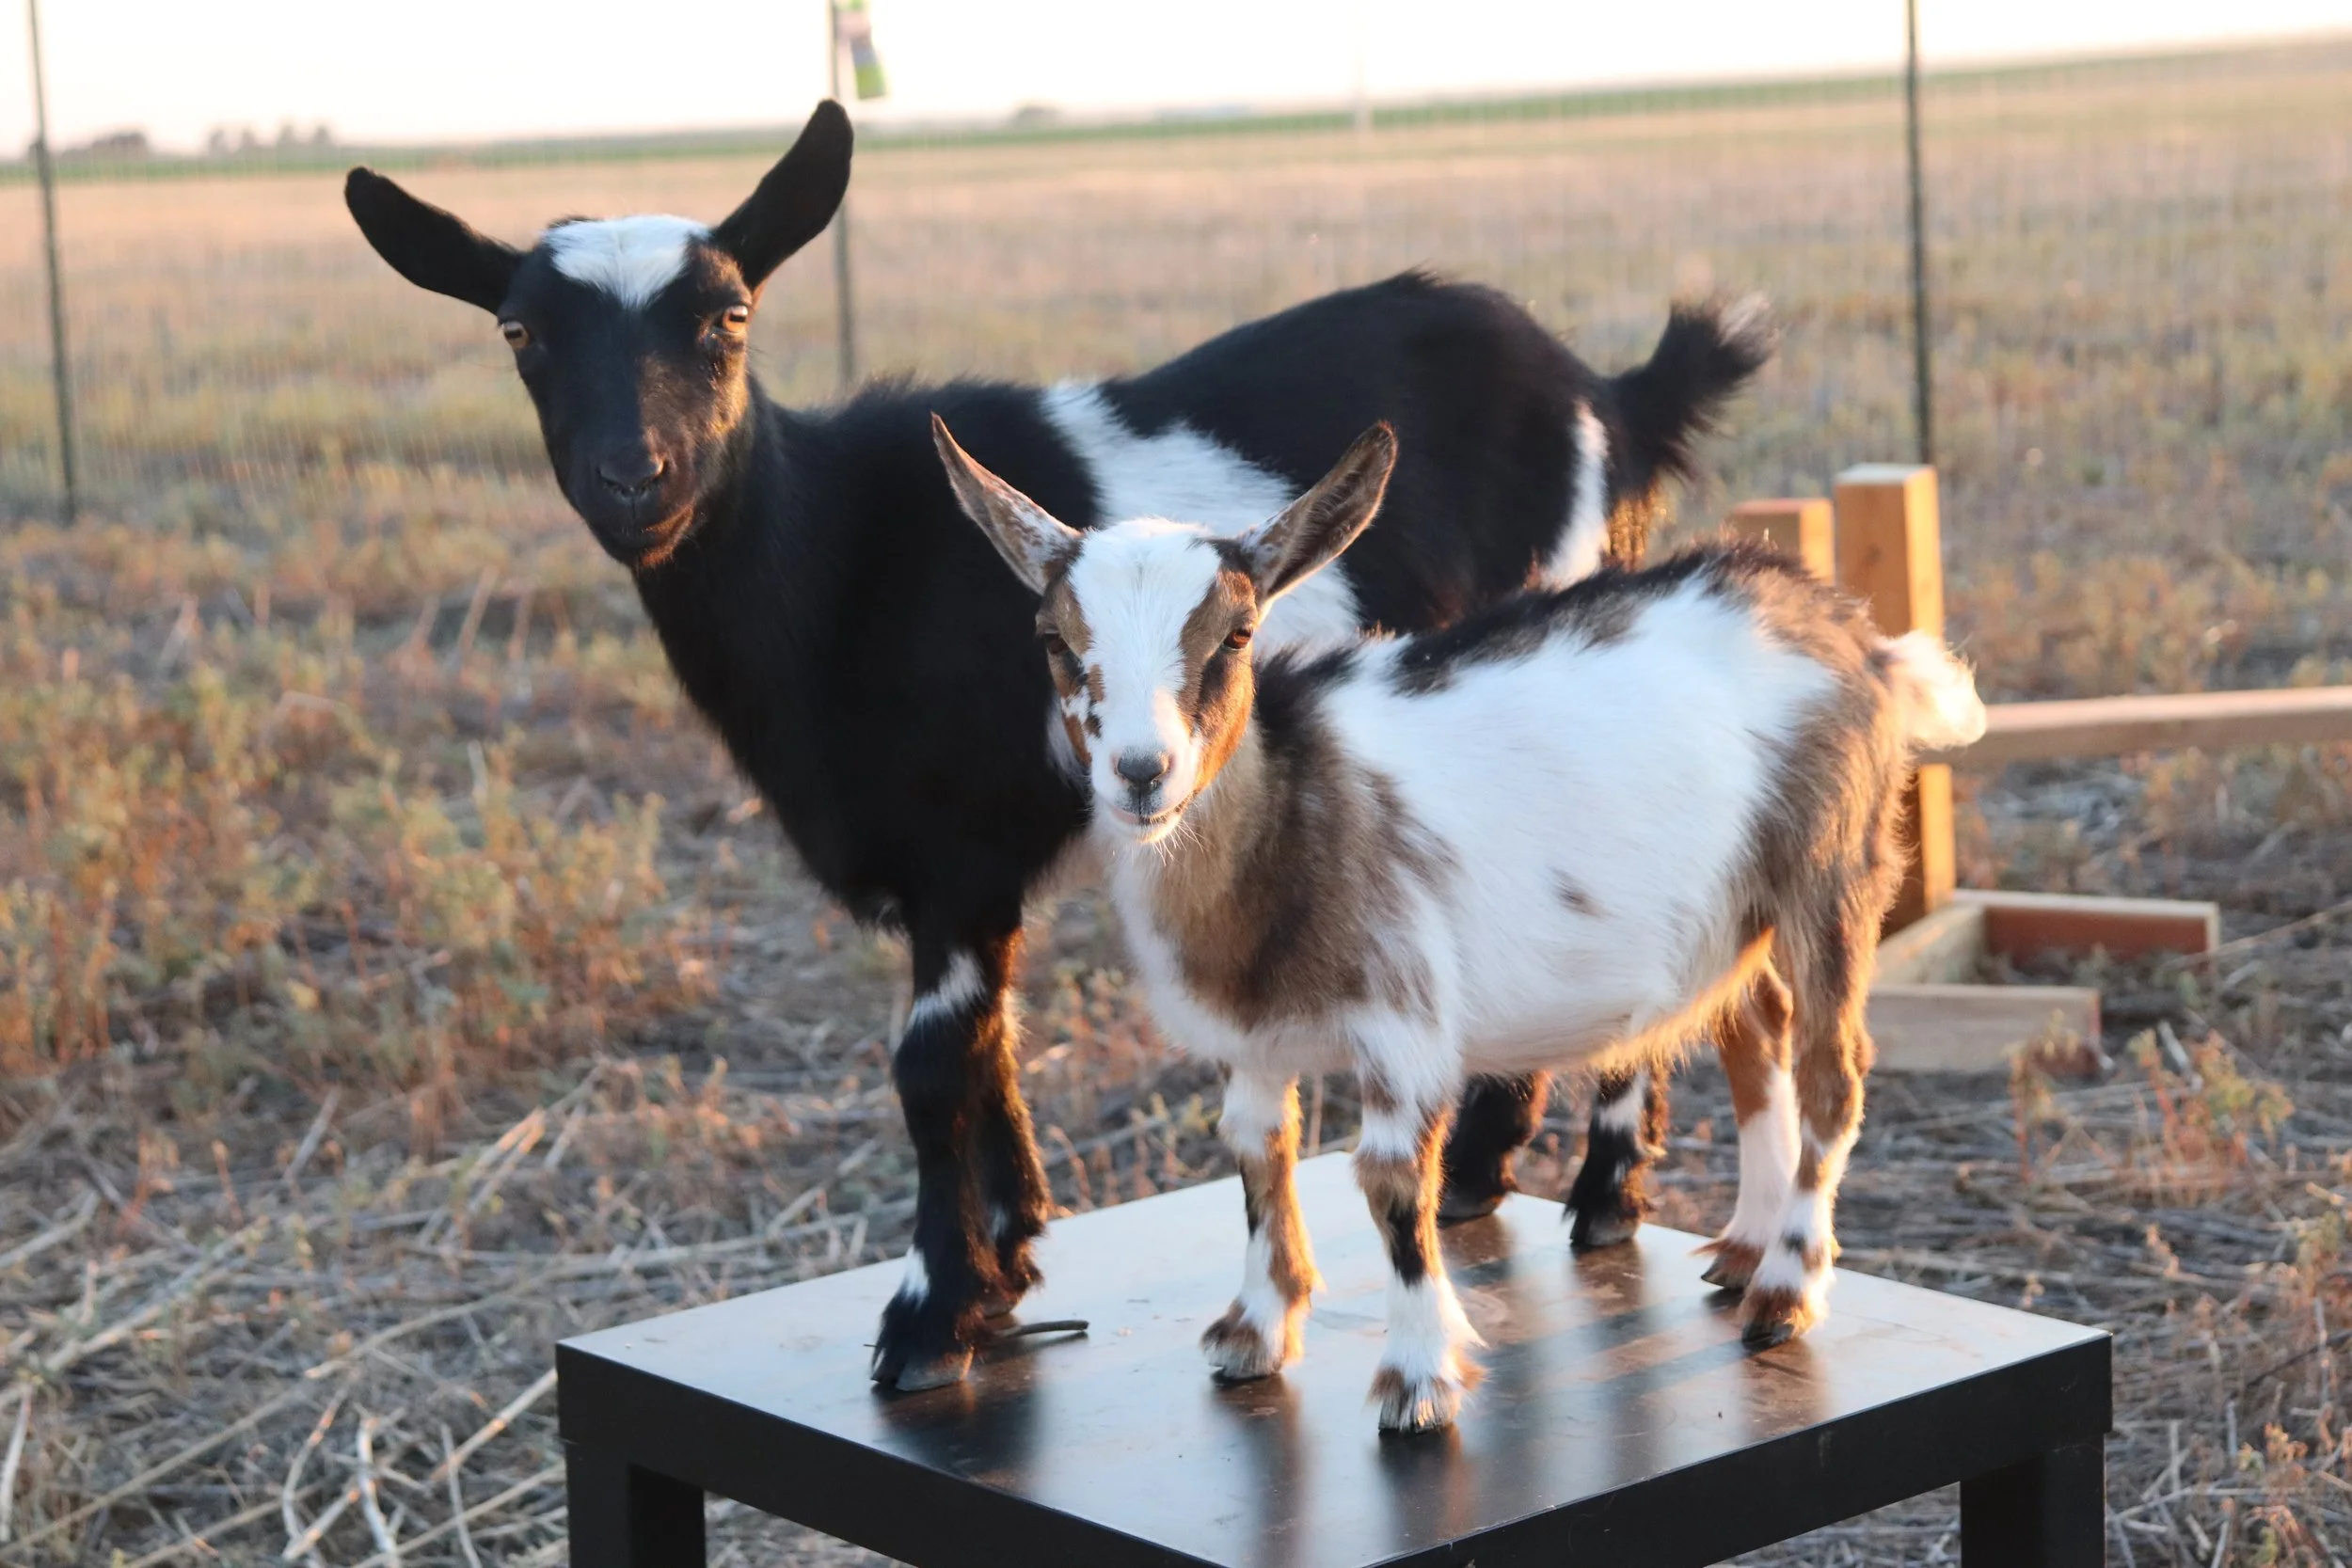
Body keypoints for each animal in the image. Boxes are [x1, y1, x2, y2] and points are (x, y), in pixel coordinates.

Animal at [342, 99, 1774, 1391]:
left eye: (727, 318)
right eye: (519, 331)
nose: (634, 479)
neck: (843, 562)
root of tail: (1605, 393)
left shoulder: (958, 846)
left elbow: (931, 1064)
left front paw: (932, 1316)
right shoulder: (961, 871)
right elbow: (992, 1048)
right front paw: (1011, 1251)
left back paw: (1602, 1196)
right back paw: (1484, 1172)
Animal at [935, 417, 1987, 1432]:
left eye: (1236, 633)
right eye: (1053, 638)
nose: (1142, 773)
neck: (1294, 819)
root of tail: (1850, 628)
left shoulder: (1402, 1023)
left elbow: (1393, 1182)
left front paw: (1417, 1380)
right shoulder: (1248, 1041)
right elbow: (1256, 1154)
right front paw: (1256, 1331)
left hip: (1831, 871)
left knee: (1830, 1070)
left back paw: (1785, 1288)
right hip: (1737, 908)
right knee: (1757, 1032)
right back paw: (1743, 1246)